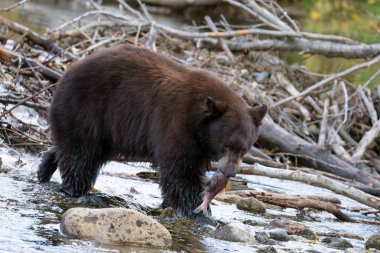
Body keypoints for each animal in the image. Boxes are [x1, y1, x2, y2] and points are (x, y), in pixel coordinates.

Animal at [37, 44, 266, 216]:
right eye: (226, 144)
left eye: (244, 148)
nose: (230, 171)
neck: (199, 120)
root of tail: (64, 74)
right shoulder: (177, 123)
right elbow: (180, 169)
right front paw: (194, 207)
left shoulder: (199, 142)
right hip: (88, 112)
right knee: (81, 155)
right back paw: (73, 188)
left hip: (104, 132)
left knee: (75, 150)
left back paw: (45, 168)